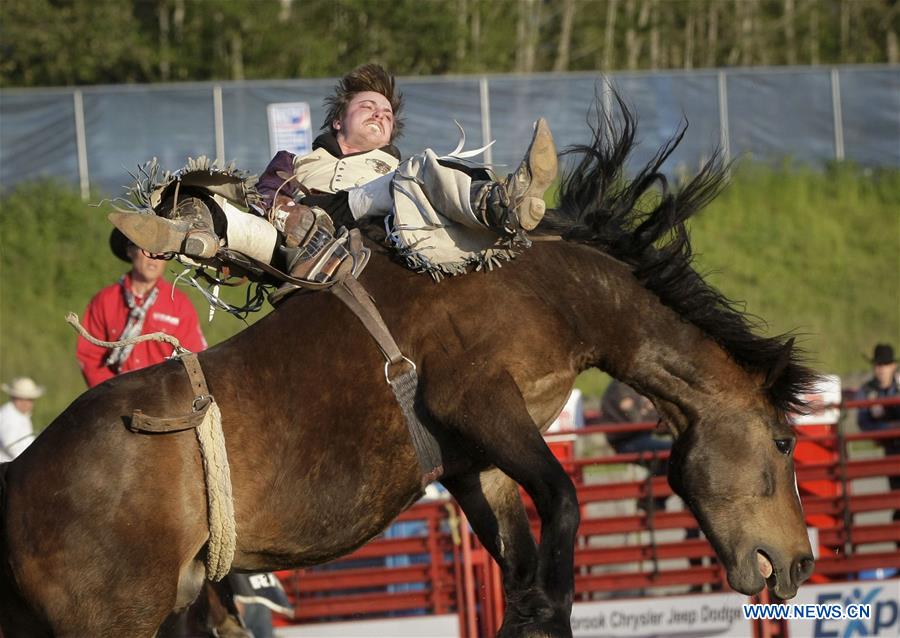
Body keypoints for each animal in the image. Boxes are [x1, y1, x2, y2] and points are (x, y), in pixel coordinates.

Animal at [0, 99, 816, 636]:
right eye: (783, 441)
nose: (802, 564)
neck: (553, 289)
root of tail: (17, 480)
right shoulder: (480, 402)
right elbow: (564, 500)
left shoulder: (475, 462)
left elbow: (520, 551)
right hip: (114, 619)